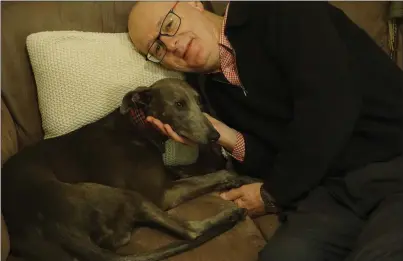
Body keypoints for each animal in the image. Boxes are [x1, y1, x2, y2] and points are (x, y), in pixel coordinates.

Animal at [2, 78, 256, 260]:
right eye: (179, 104)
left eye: (198, 102)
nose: (215, 136)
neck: (138, 126)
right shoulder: (160, 194)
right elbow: (212, 176)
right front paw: (238, 177)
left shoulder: (169, 174)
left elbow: (197, 173)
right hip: (126, 196)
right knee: (190, 230)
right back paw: (231, 214)